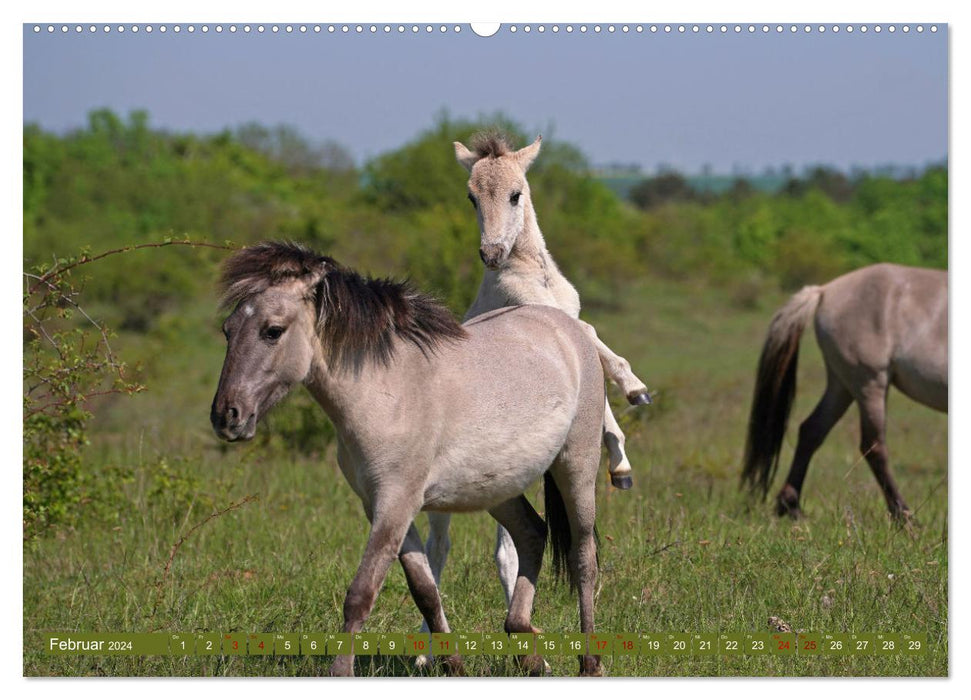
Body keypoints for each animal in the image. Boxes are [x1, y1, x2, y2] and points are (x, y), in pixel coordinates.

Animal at [422, 134, 648, 620]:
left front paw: (620, 453)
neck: (532, 272)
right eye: (471, 197)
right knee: (438, 548)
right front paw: (633, 398)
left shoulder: (567, 317)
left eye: (516, 194)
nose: (490, 255)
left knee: (507, 551)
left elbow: (593, 341)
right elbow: (593, 337)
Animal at [740, 266, 944, 524]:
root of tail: (824, 290)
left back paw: (791, 507)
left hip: (841, 385)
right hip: (869, 382)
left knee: (811, 431)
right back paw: (904, 518)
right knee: (873, 446)